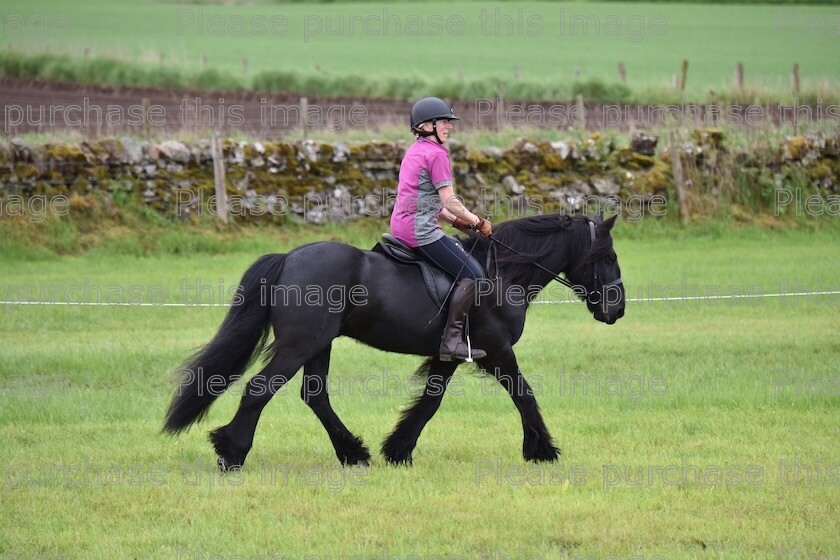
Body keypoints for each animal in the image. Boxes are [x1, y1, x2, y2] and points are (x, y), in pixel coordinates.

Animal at [164, 212, 624, 470]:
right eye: (608, 257)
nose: (617, 309)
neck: (503, 274)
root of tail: (290, 257)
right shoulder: (496, 350)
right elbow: (524, 395)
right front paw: (542, 450)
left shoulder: (451, 355)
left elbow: (430, 402)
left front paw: (399, 449)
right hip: (299, 344)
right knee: (260, 391)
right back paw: (231, 452)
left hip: (318, 344)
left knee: (315, 396)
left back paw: (353, 454)